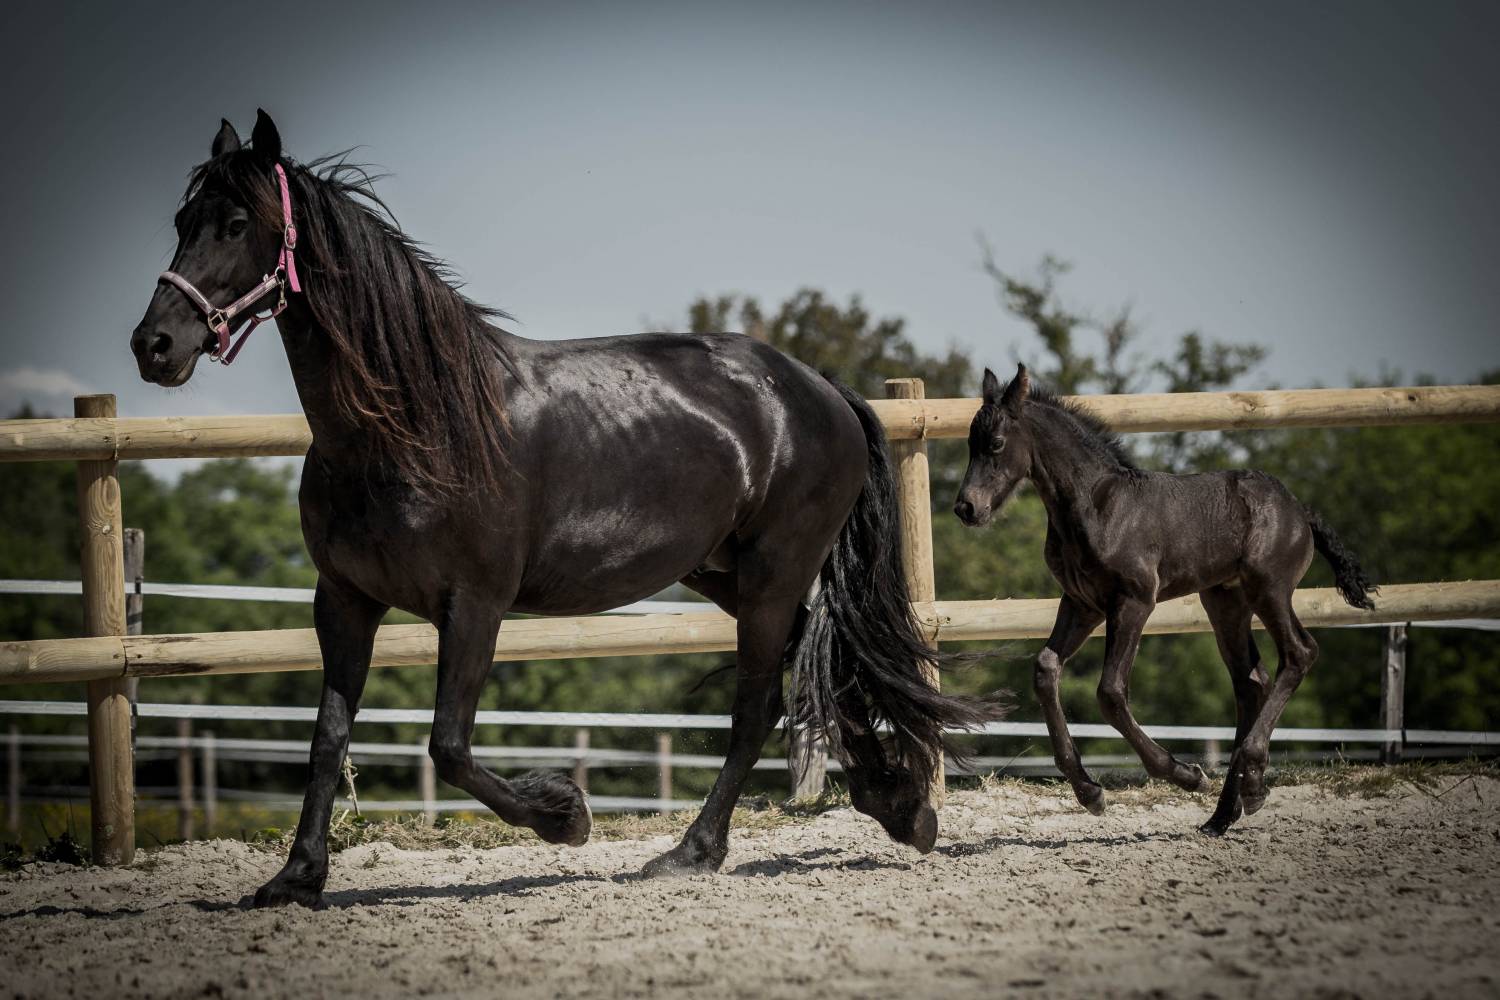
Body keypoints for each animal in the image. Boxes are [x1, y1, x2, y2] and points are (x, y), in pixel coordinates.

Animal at [129, 110, 1002, 907]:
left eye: (238, 223)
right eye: (178, 222)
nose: (154, 346)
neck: (413, 428)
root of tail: (821, 389)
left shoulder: (474, 604)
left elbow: (448, 747)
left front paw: (565, 815)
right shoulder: (343, 599)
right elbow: (327, 739)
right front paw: (296, 878)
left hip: (772, 573)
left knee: (759, 705)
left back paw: (693, 852)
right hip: (725, 573)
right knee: (818, 657)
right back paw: (901, 809)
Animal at [953, 363, 1377, 835]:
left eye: (995, 443)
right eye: (969, 444)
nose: (966, 508)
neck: (1096, 505)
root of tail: (1301, 510)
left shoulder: (1135, 599)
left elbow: (1110, 692)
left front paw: (1185, 775)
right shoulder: (1082, 603)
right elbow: (1046, 670)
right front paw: (1088, 792)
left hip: (1269, 588)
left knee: (1299, 653)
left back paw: (1248, 783)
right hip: (1225, 601)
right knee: (1252, 681)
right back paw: (1228, 810)